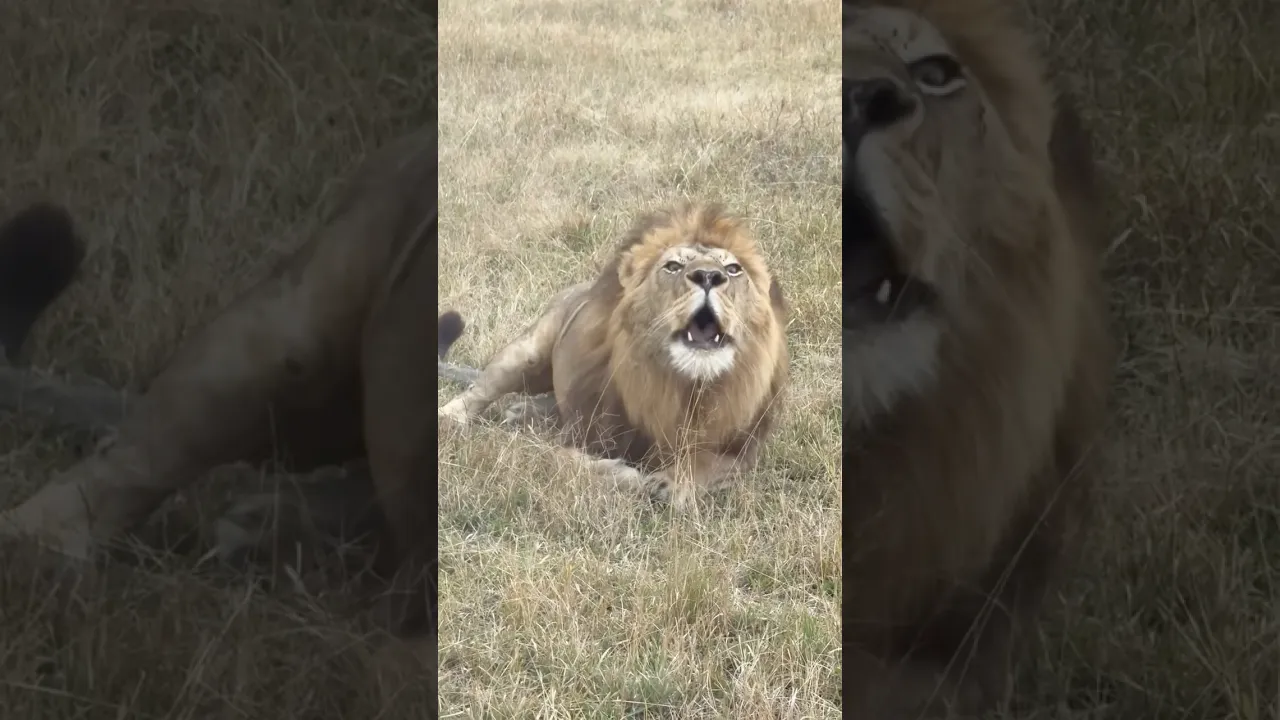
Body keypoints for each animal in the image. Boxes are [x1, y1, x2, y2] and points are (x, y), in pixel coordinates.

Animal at [437, 203, 790, 509]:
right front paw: (627, 475)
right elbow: (571, 461)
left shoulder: (740, 451)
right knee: (480, 391)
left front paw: (674, 482)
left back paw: (523, 411)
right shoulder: (581, 435)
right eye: (673, 266)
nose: (708, 277)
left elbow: (706, 463)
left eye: (733, 269)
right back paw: (453, 419)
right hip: (527, 353)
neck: (685, 386)